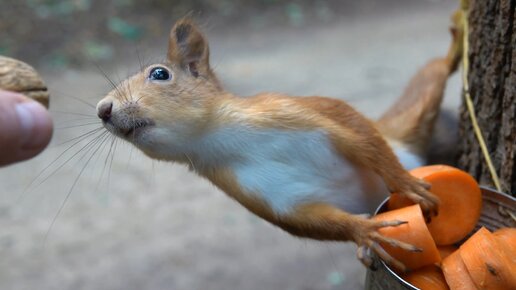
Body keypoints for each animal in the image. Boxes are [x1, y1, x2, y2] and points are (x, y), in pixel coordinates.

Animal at [93, 19, 460, 270]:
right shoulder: (263, 195)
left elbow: (360, 135)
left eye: (160, 74)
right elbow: (309, 220)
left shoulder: (298, 110)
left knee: (433, 74)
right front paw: (364, 232)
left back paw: (457, 40)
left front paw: (405, 184)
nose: (103, 109)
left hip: (412, 117)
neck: (220, 139)